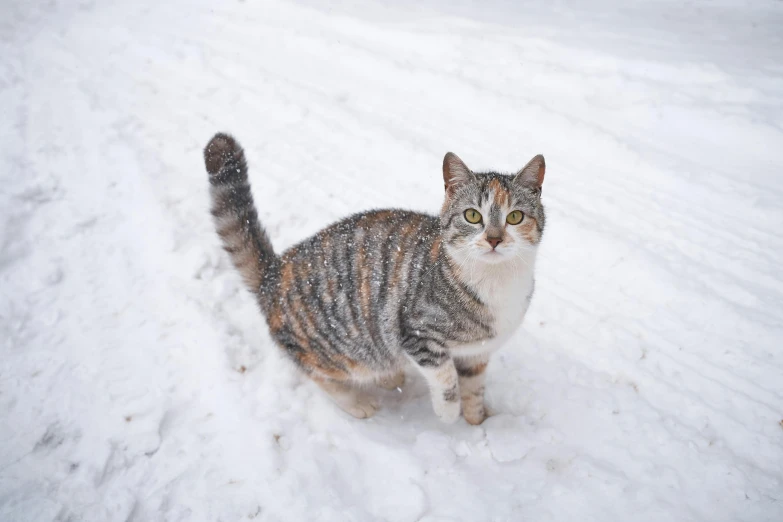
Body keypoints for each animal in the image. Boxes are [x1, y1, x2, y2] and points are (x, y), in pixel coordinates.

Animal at [202, 134, 544, 422]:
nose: (494, 239)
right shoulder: (417, 333)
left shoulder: (478, 353)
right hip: (337, 351)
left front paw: (478, 419)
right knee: (318, 372)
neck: (496, 280)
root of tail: (276, 271)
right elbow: (445, 376)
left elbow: (474, 387)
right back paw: (357, 402)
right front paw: (448, 412)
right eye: (472, 215)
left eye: (515, 217)